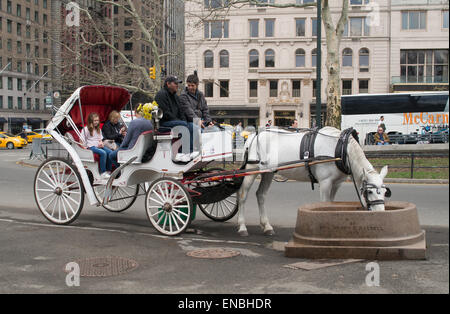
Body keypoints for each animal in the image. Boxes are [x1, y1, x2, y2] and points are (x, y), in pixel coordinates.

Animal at [239, 126, 390, 237]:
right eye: (369, 191)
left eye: (384, 192)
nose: (381, 215)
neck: (340, 148)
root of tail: (253, 135)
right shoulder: (325, 182)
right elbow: (324, 204)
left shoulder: (337, 183)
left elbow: (331, 205)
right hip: (251, 169)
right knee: (243, 195)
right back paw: (242, 227)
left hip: (268, 172)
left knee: (261, 195)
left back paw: (267, 226)